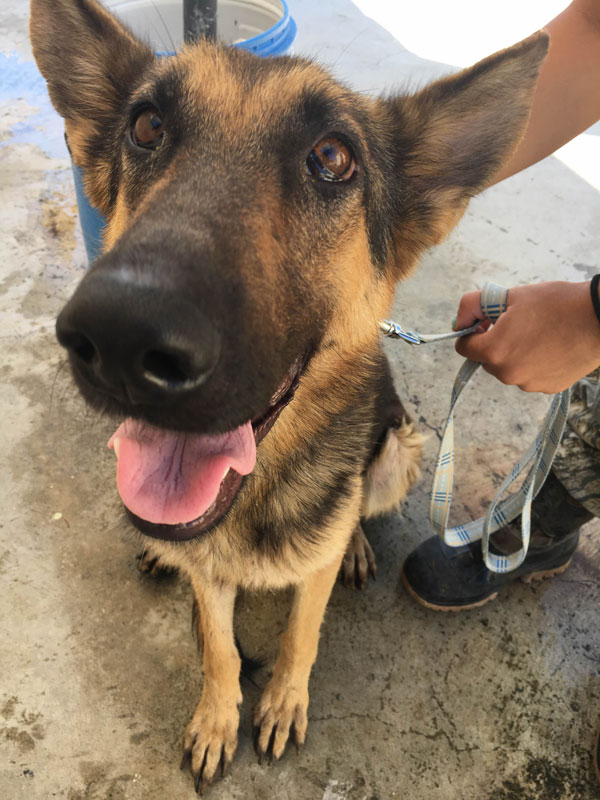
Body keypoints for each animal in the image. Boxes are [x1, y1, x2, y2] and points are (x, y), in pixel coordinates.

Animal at [29, 0, 548, 788]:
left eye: (333, 158)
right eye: (146, 126)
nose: (118, 335)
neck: (254, 493)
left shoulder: (315, 576)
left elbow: (303, 633)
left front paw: (281, 702)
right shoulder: (209, 575)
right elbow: (218, 648)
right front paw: (220, 717)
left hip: (402, 447)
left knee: (361, 500)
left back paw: (357, 540)